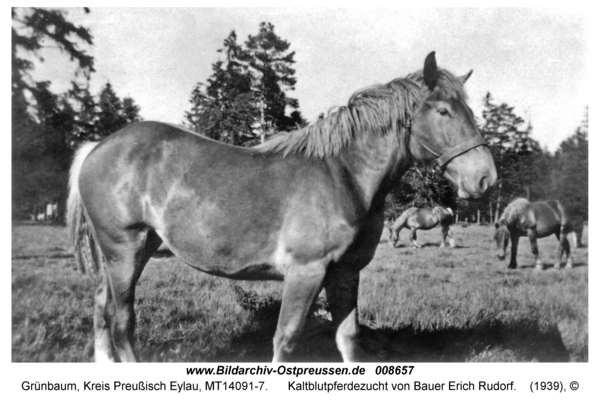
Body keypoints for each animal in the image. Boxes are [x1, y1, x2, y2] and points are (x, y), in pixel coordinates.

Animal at [67, 51, 496, 360]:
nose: (485, 177)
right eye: (443, 111)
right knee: (121, 322)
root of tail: (99, 146)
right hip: (125, 249)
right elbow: (286, 340)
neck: (343, 175)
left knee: (101, 308)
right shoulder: (305, 273)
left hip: (134, 251)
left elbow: (348, 340)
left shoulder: (344, 274)